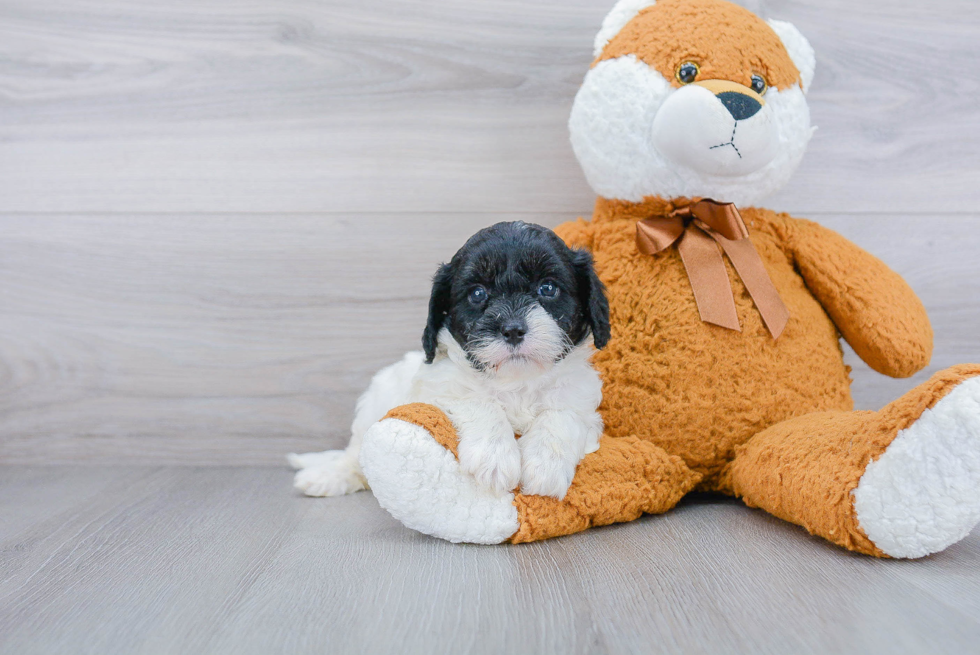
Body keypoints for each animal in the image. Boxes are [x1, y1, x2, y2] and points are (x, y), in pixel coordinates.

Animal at [288, 223, 608, 500]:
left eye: (548, 288)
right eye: (478, 293)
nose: (513, 329)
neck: (516, 381)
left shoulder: (581, 400)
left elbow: (562, 415)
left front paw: (546, 465)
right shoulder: (437, 388)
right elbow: (477, 400)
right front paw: (493, 458)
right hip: (374, 404)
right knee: (354, 457)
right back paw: (328, 477)